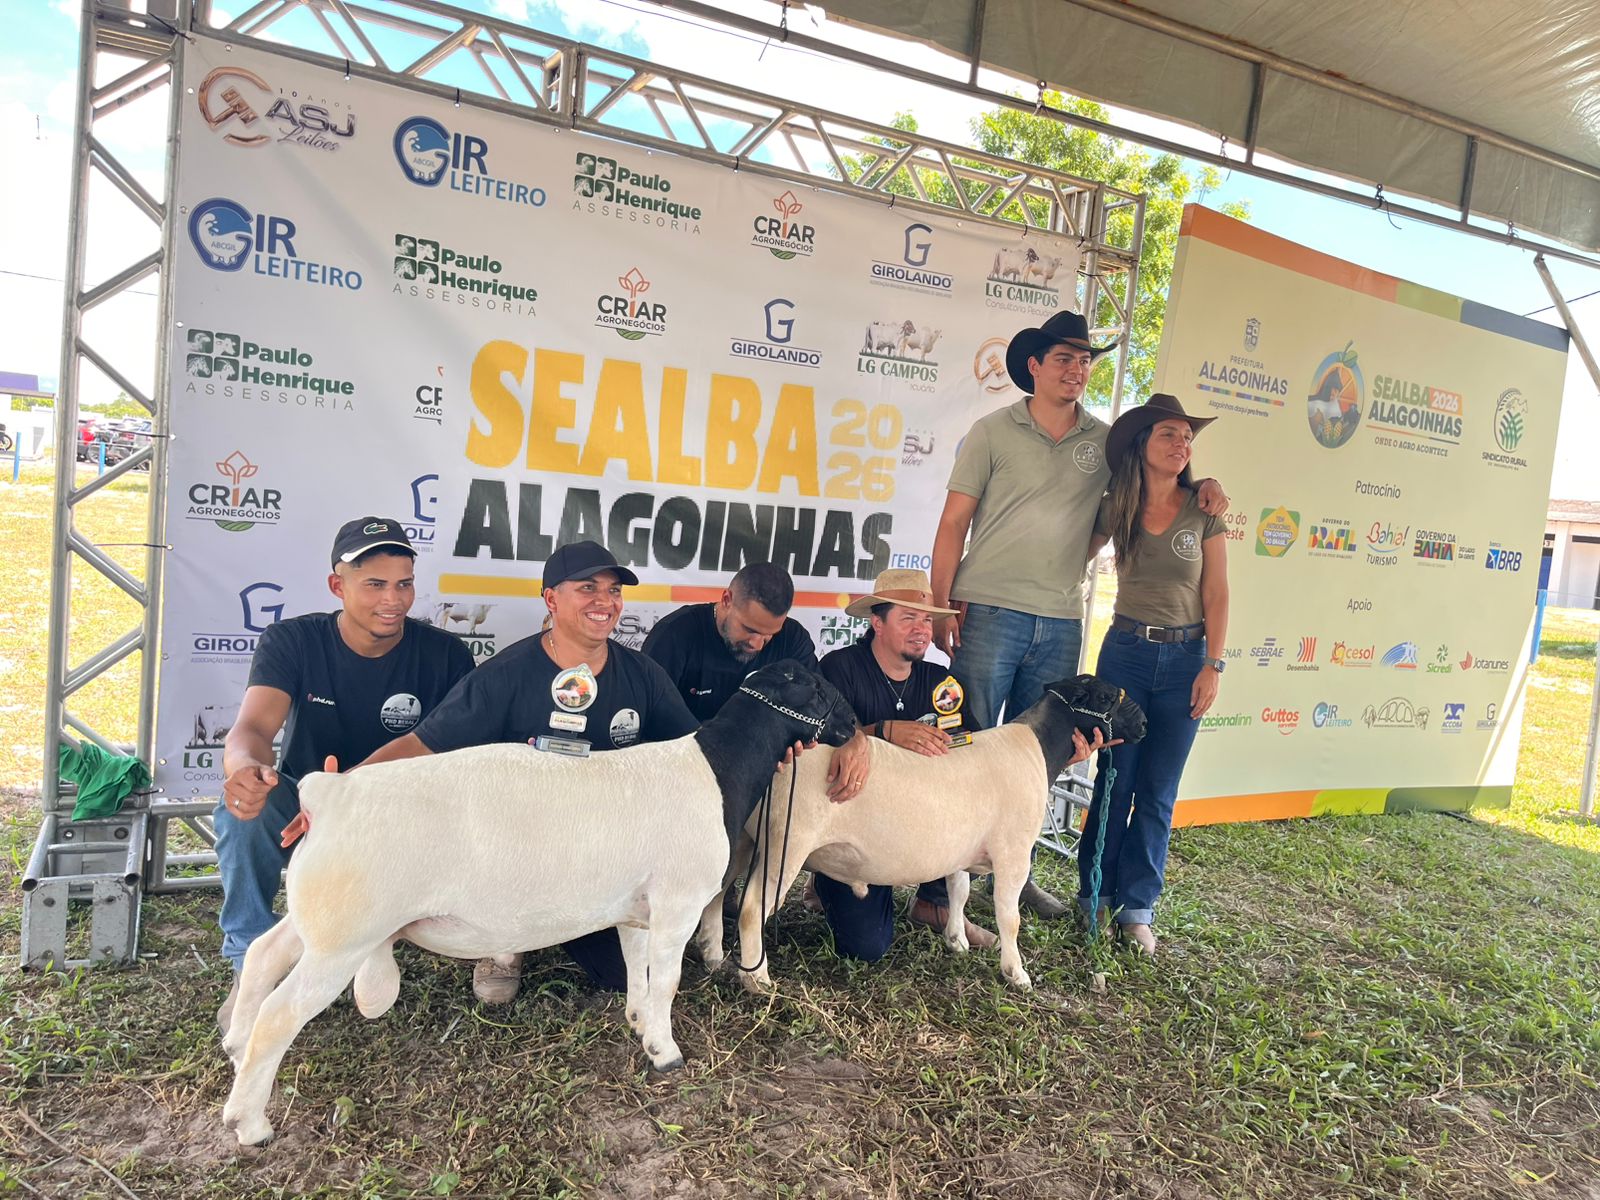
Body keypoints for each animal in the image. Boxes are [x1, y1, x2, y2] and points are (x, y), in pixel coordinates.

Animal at [219, 660, 858, 1147]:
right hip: (344, 936)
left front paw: (638, 1024)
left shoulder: (637, 909)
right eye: (818, 686)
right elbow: (669, 981)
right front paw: (665, 1051)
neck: (713, 771)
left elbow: (639, 973)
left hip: (320, 921)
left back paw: (233, 1044)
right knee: (279, 1015)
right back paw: (249, 1124)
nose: (853, 724)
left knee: (263, 953)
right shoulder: (677, 904)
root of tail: (328, 792)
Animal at [698, 675, 1146, 993]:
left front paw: (956, 941)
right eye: (1104, 697)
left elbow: (959, 891)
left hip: (743, 838)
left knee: (717, 892)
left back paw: (713, 954)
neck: (1035, 748)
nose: (1144, 722)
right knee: (751, 907)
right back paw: (756, 978)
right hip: (786, 841)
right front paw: (1016, 973)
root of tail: (783, 752)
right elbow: (1010, 917)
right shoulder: (1014, 853)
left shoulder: (961, 849)